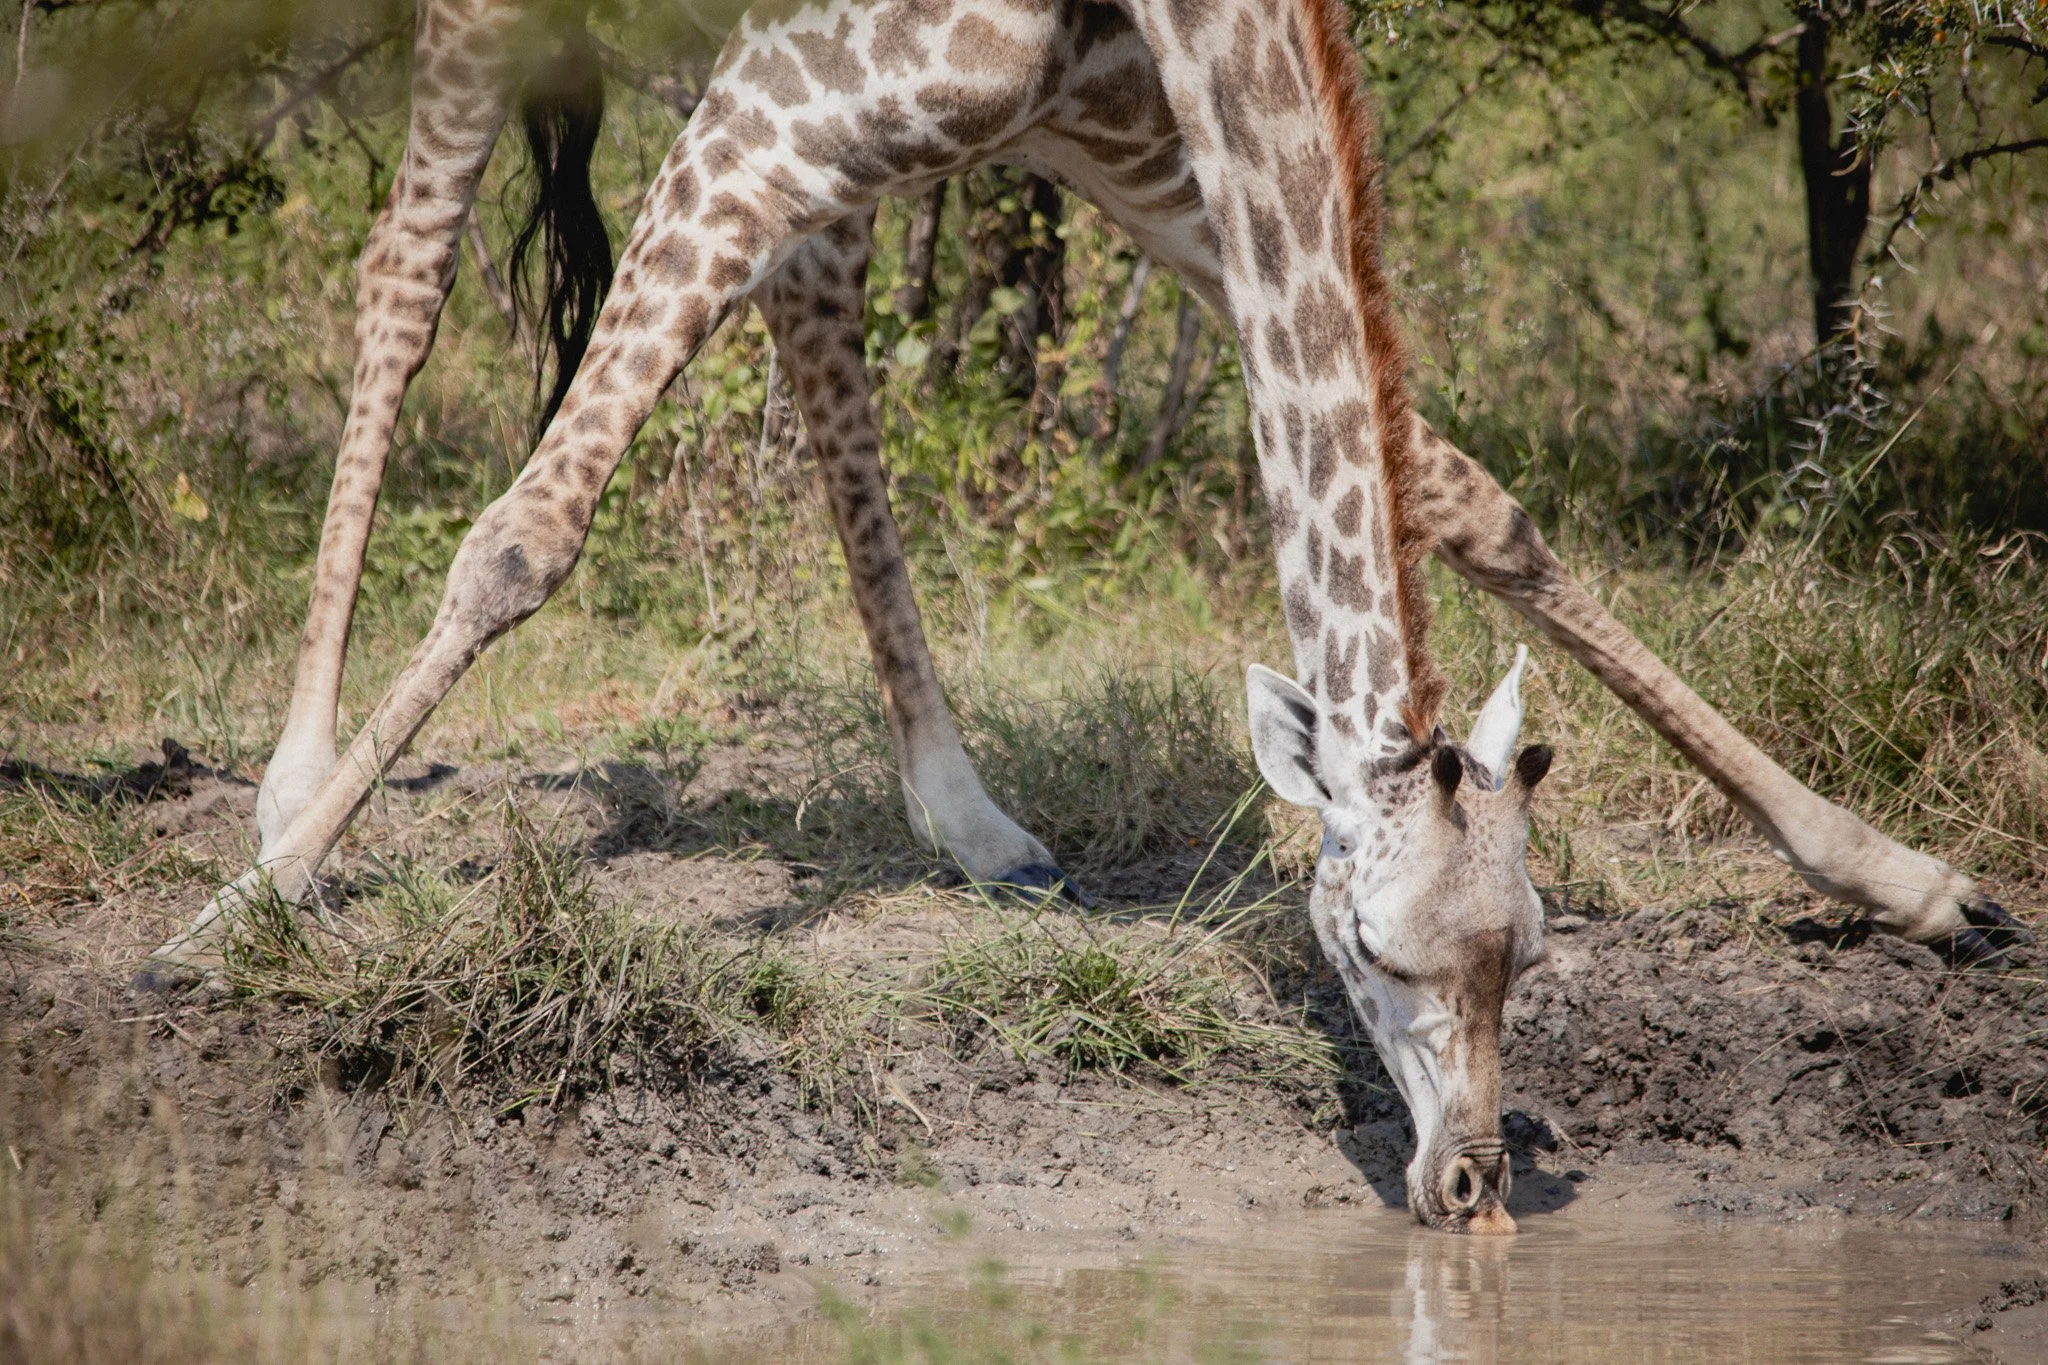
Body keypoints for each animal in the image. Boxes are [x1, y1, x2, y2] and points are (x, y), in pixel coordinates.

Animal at [140, 0, 2029, 1230]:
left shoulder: (1112, 137)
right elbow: (521, 540)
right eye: (1369, 951)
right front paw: (231, 921)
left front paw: (1911, 881)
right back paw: (291, 790)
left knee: (813, 322)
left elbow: (1460, 490)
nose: (1465, 1184)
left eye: (1536, 952)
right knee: (400, 275)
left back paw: (967, 815)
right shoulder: (775, 97)